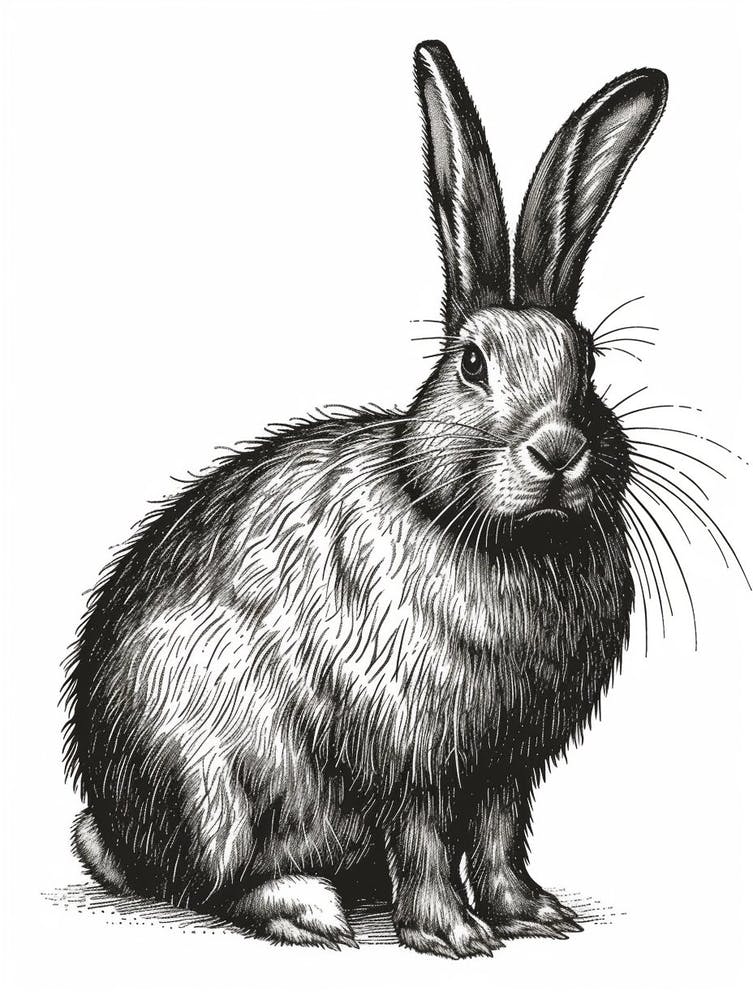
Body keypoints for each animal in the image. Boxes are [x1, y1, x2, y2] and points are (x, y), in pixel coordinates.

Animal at [63, 40, 667, 958]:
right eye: (471, 364)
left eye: (588, 361)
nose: (558, 449)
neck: (479, 529)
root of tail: (108, 818)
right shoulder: (408, 753)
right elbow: (422, 839)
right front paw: (452, 936)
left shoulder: (505, 765)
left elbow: (499, 835)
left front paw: (533, 915)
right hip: (210, 784)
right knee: (205, 881)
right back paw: (306, 909)